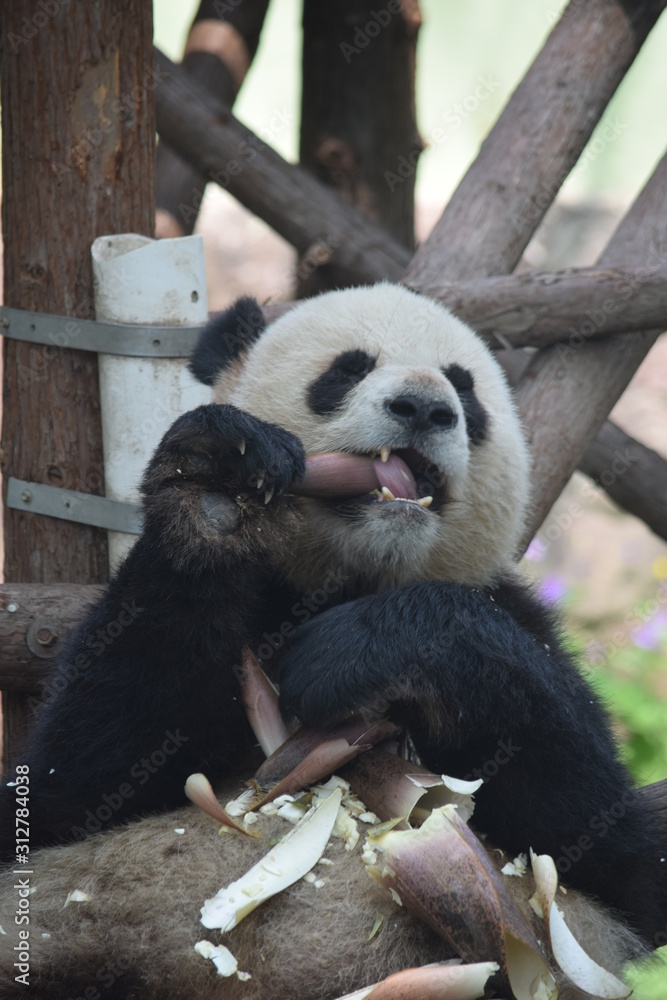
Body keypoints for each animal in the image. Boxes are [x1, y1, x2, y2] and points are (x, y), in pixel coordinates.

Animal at [0, 283, 664, 999]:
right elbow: (75, 782)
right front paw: (216, 481)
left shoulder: (518, 623)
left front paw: (350, 655)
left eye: (465, 391)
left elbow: (609, 841)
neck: (350, 574)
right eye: (346, 370)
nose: (424, 406)